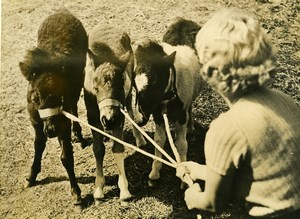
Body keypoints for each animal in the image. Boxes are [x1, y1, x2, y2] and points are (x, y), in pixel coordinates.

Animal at [19, 8, 88, 204]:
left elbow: (66, 157)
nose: (51, 130)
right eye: (34, 97)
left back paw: (79, 135)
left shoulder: (62, 121)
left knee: (74, 108)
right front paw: (31, 177)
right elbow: (38, 146)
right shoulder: (36, 122)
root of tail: (63, 11)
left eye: (59, 95)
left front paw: (76, 193)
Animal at [84, 24, 146, 202]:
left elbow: (118, 148)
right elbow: (98, 149)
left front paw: (124, 190)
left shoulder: (119, 114)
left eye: (120, 84)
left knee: (130, 109)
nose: (108, 119)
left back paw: (139, 138)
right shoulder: (92, 117)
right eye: (95, 88)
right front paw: (98, 188)